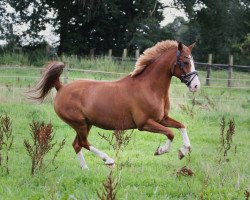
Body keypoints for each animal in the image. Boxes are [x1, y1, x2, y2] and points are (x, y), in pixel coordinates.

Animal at [29, 41, 200, 170]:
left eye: (192, 61)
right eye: (185, 61)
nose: (196, 86)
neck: (149, 87)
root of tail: (61, 88)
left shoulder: (162, 118)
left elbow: (182, 126)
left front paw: (183, 151)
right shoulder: (144, 123)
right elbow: (170, 133)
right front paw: (161, 150)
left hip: (86, 124)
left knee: (77, 145)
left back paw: (85, 169)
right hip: (79, 123)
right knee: (83, 143)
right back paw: (108, 160)